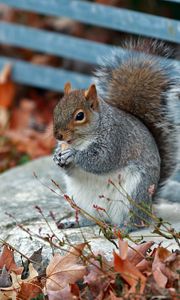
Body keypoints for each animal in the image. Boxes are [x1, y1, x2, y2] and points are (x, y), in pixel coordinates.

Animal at [52, 39, 179, 231]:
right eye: (56, 109)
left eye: (80, 116)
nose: (58, 135)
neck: (82, 140)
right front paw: (57, 156)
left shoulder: (116, 140)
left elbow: (102, 160)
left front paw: (72, 154)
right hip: (82, 200)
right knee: (91, 219)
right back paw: (74, 222)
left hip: (134, 194)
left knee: (136, 221)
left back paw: (124, 227)